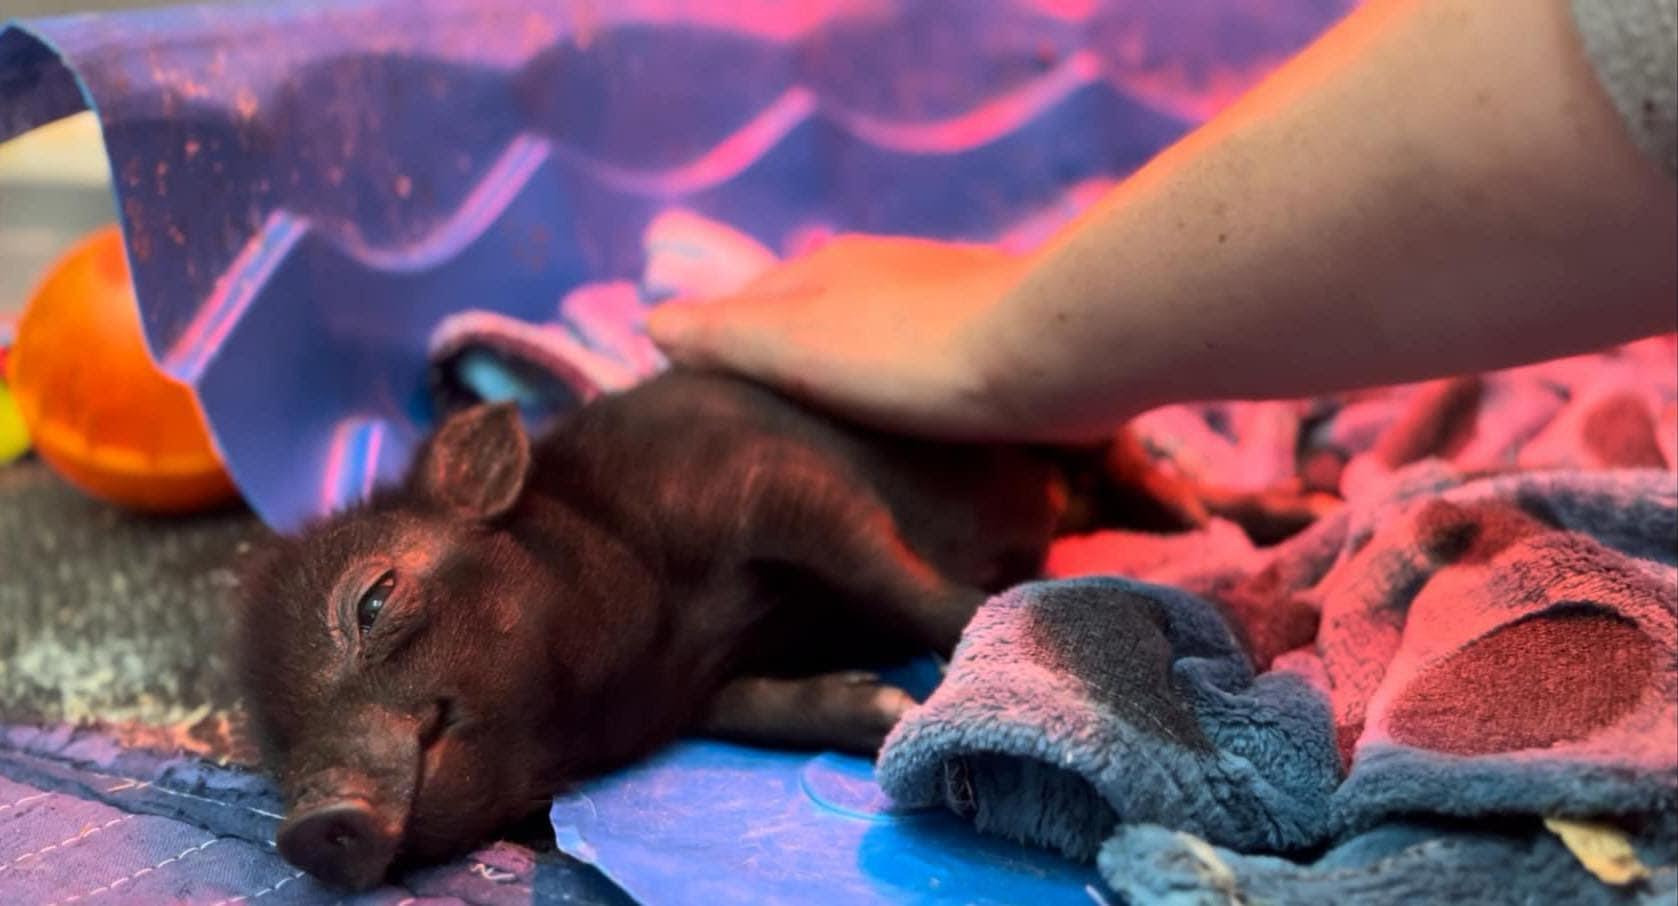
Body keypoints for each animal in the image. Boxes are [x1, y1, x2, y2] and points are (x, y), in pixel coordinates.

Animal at [233, 367, 1328, 890]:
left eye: (373, 601)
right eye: (273, 744)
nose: (305, 828)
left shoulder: (775, 481)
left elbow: (898, 578)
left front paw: (992, 637)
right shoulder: (706, 690)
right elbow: (758, 713)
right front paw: (881, 709)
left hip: (1080, 433)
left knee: (1166, 484)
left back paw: (1291, 514)